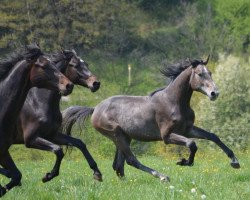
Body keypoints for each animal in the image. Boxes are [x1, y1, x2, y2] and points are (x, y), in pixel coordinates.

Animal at [0, 44, 73, 197]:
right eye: (44, 66)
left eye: (55, 65)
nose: (68, 85)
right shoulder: (31, 139)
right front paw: (48, 176)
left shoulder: (3, 151)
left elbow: (17, 176)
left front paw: (47, 176)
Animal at [0, 48, 101, 183]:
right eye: (75, 65)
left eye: (86, 64)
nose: (96, 83)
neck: (38, 102)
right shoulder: (31, 139)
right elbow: (58, 150)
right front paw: (48, 176)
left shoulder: (51, 135)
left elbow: (79, 143)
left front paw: (97, 172)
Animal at [61, 55, 239, 181]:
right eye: (200, 74)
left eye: (210, 73)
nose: (214, 93)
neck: (174, 101)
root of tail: (95, 109)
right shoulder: (167, 136)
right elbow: (192, 144)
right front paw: (184, 162)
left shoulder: (188, 129)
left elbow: (213, 136)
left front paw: (235, 162)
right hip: (117, 135)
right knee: (131, 160)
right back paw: (163, 176)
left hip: (123, 137)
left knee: (118, 165)